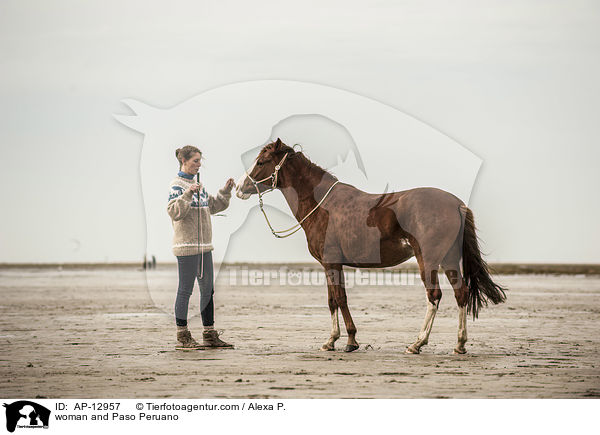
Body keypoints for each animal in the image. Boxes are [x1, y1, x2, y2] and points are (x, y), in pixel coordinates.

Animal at [236, 140, 506, 354]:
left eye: (261, 162)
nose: (239, 188)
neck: (322, 205)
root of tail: (456, 204)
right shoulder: (330, 264)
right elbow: (332, 300)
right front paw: (331, 341)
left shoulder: (331, 263)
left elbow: (340, 298)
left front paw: (348, 341)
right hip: (449, 260)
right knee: (461, 294)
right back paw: (459, 344)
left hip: (428, 260)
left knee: (434, 296)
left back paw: (417, 343)